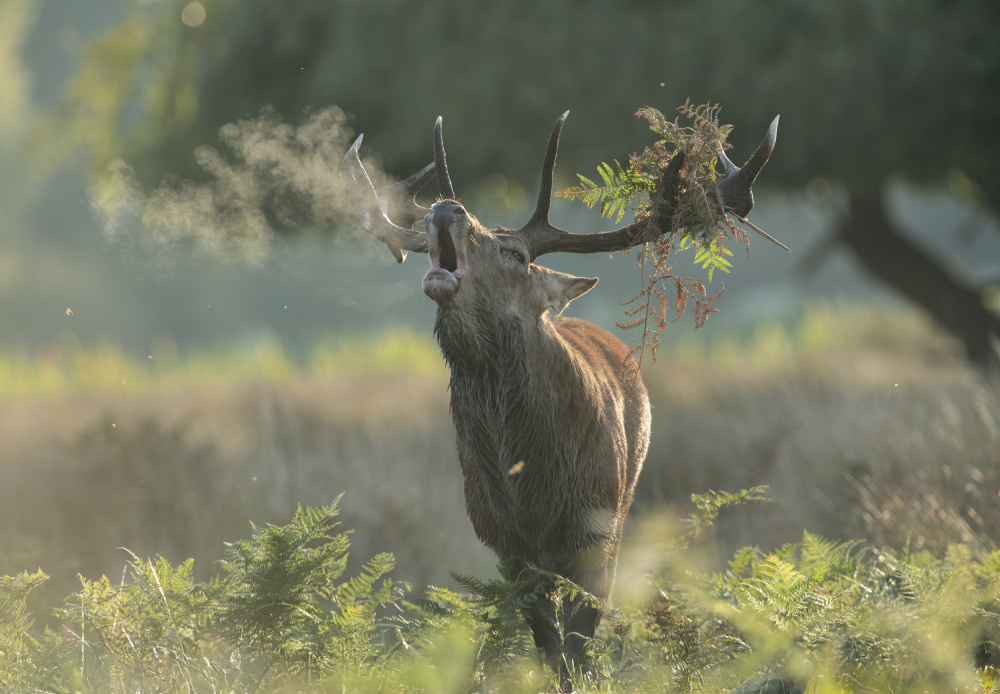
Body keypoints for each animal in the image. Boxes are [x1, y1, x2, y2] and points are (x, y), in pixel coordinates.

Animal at [340, 111, 777, 680]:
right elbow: (548, 647)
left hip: (625, 502)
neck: (532, 487)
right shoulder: (504, 542)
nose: (446, 207)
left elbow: (580, 642)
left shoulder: (596, 528)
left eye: (515, 253)